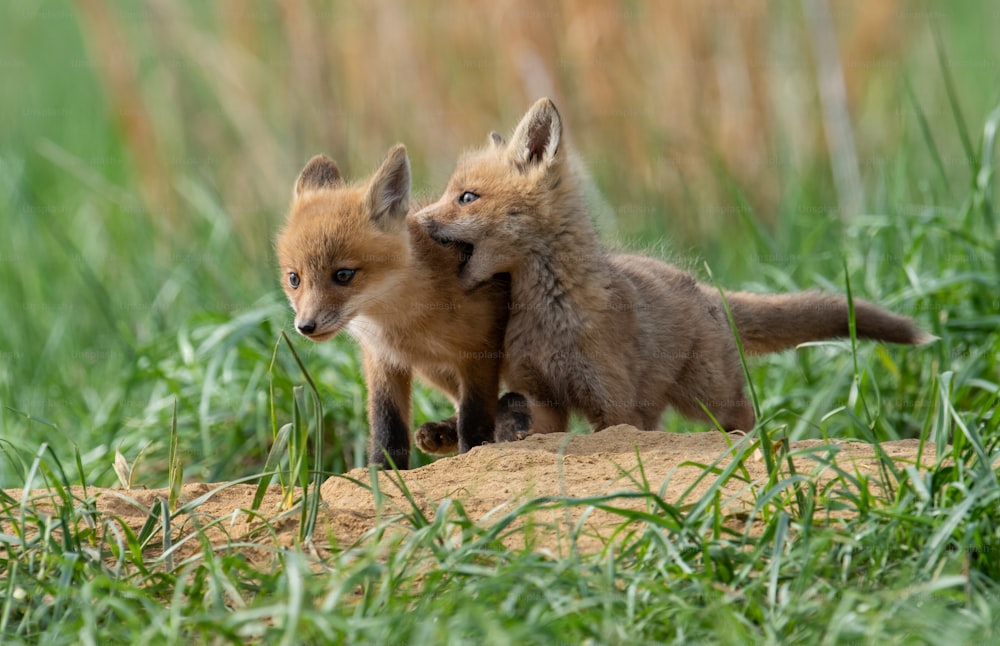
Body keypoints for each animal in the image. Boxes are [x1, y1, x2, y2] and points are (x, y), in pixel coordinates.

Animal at [278, 147, 520, 470]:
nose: (305, 326)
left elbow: (475, 419)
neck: (404, 325)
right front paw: (382, 471)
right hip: (434, 370)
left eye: (343, 275)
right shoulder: (382, 359)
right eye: (294, 279)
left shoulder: (479, 353)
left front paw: (473, 453)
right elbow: (387, 427)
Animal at [412, 98, 928, 438]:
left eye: (466, 197)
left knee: (746, 420)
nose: (413, 221)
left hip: (710, 397)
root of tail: (704, 290)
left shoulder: (612, 405)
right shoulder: (543, 398)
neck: (550, 316)